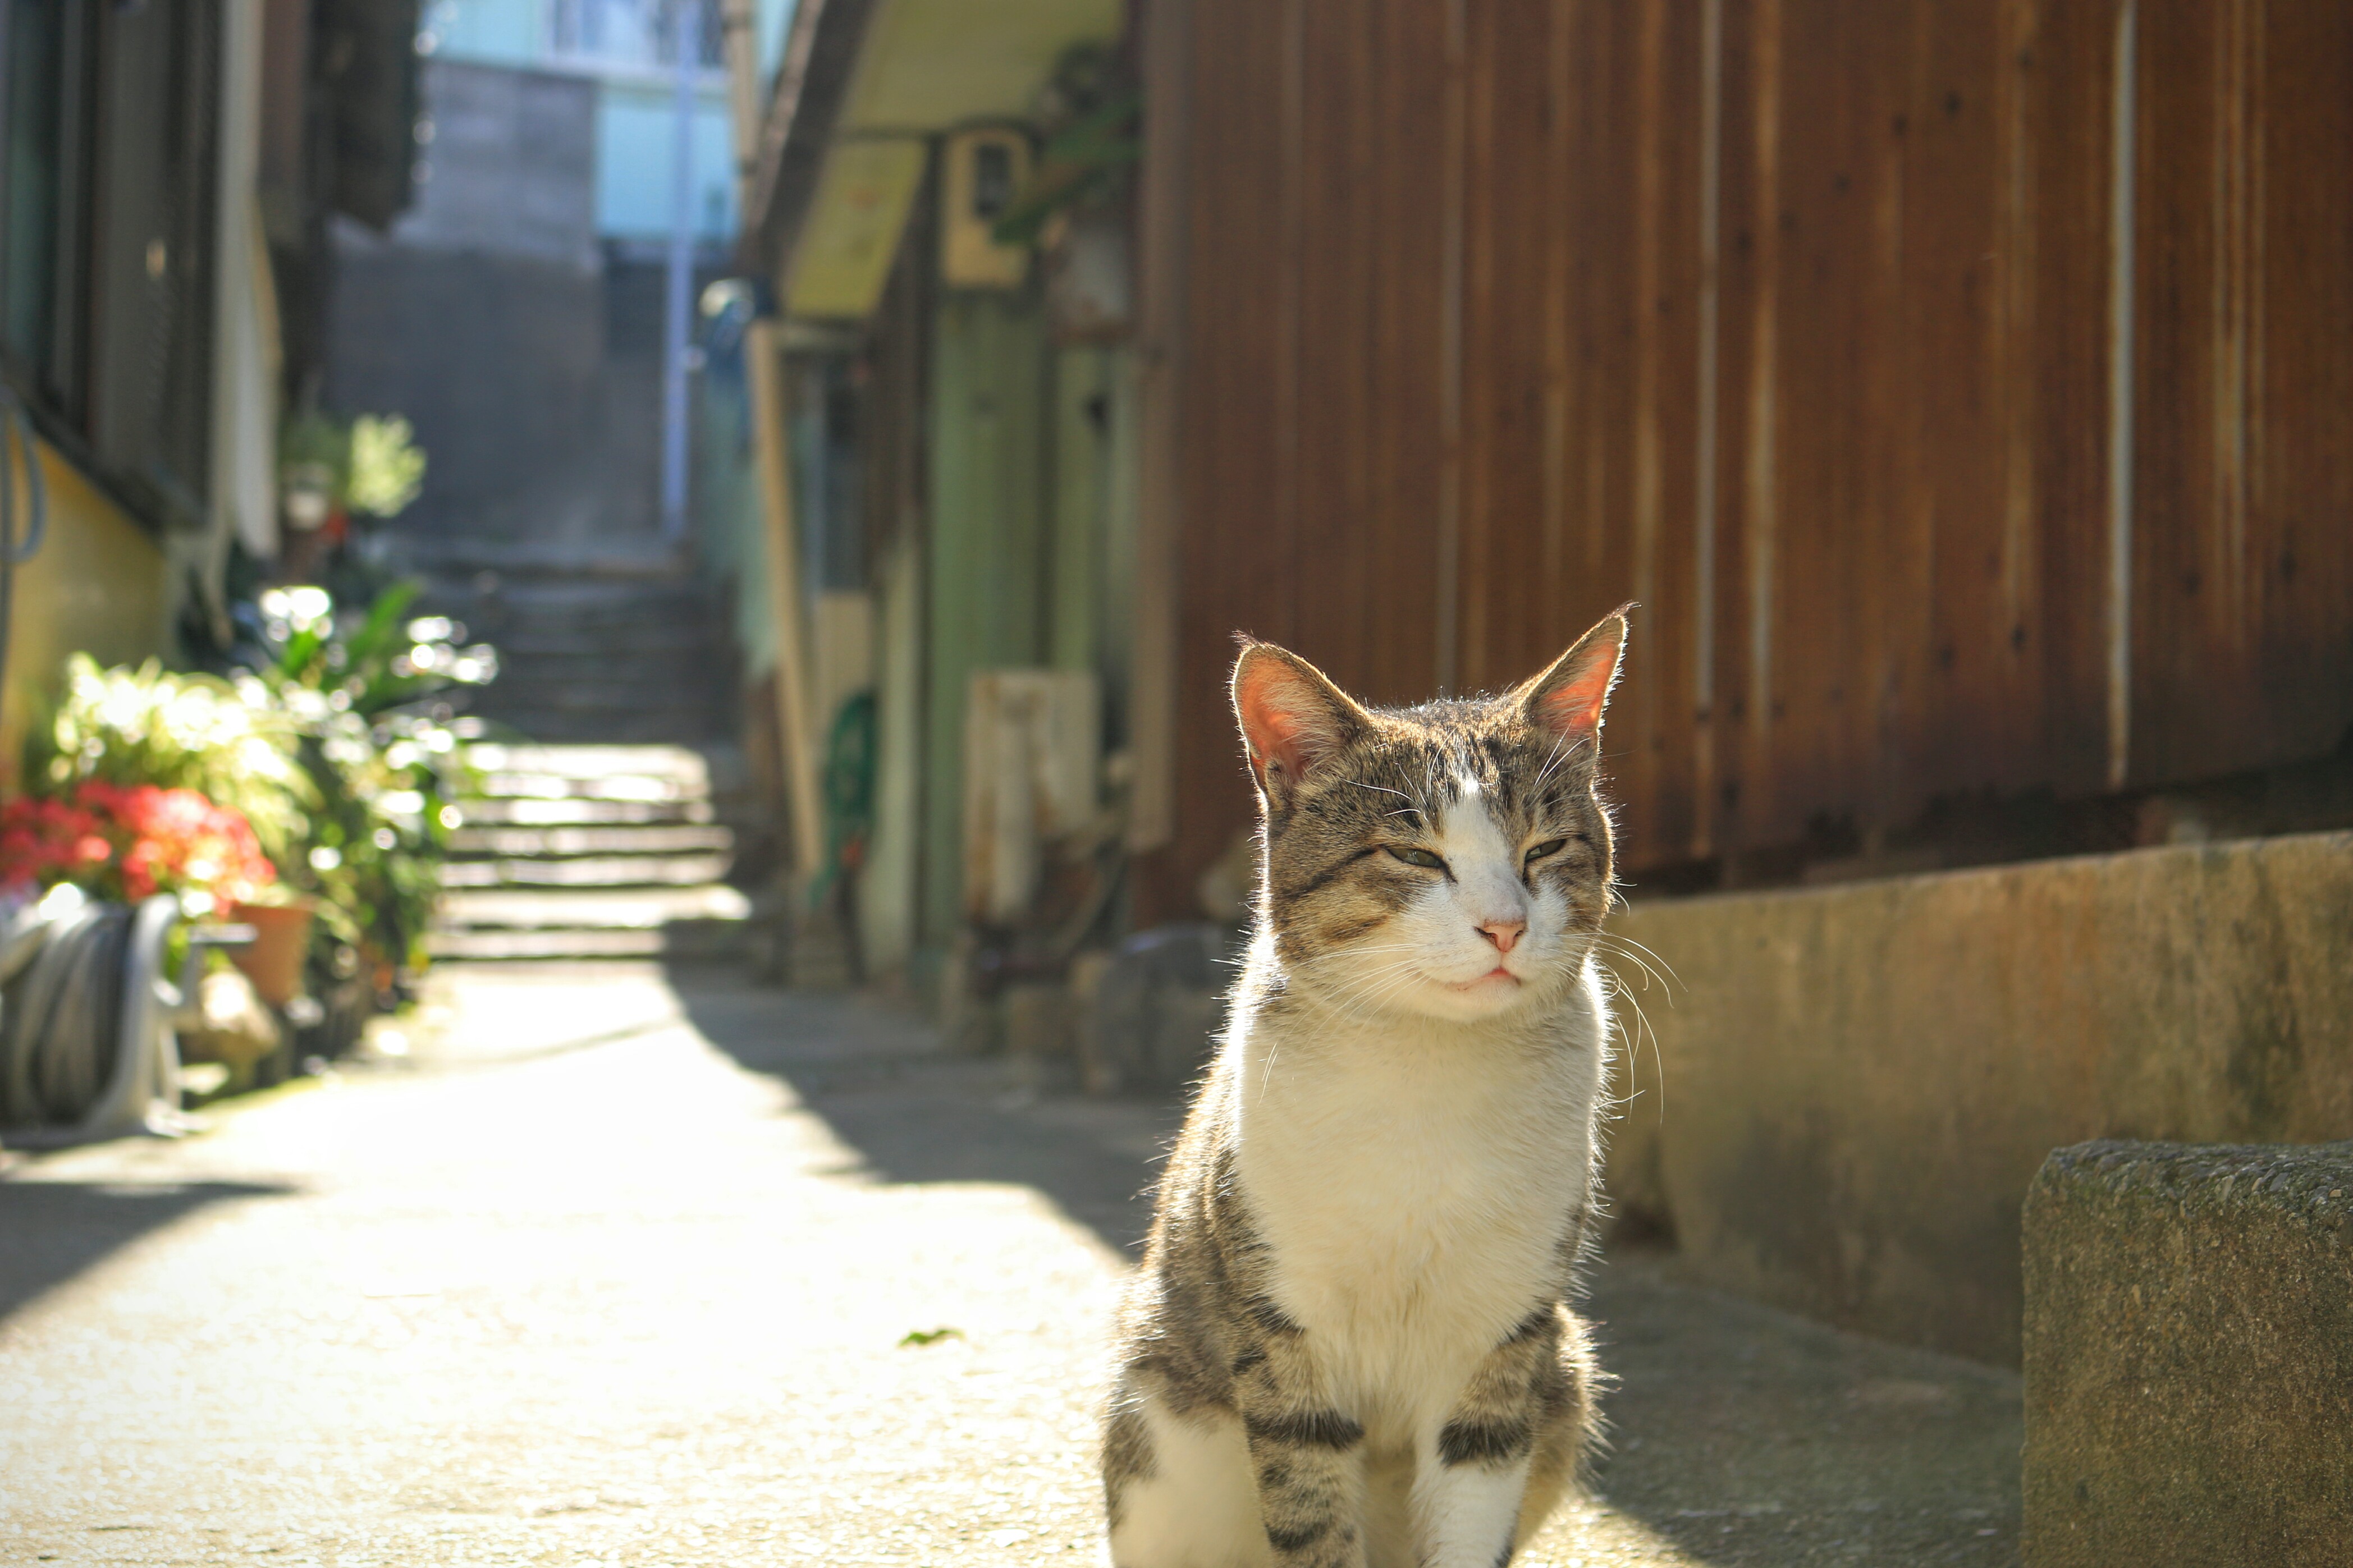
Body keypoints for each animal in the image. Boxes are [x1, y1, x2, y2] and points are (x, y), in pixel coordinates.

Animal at [1092, 611, 1628, 1568]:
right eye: (1413, 853)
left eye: (1545, 847)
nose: (1506, 925)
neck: (1429, 1065)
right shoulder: (1286, 1333)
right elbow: (1310, 1508)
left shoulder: (1501, 1337)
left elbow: (1471, 1502)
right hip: (1156, 1415)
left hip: (1564, 1371)